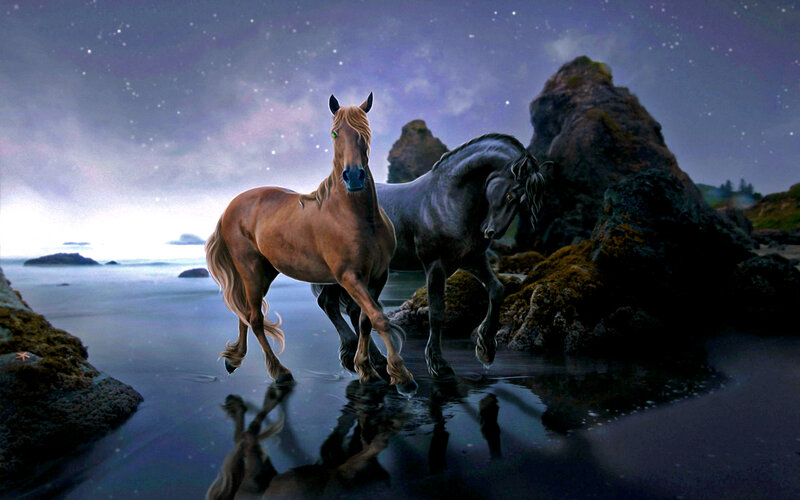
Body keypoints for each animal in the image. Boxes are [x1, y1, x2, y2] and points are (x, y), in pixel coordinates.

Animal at [206, 93, 417, 396]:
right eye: (335, 133)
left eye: (365, 132)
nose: (354, 176)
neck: (358, 217)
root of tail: (231, 207)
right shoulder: (349, 276)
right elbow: (378, 318)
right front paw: (402, 377)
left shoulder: (377, 276)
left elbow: (366, 319)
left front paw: (368, 371)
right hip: (251, 270)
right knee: (255, 318)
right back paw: (280, 373)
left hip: (266, 272)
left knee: (245, 312)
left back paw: (234, 361)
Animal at [314, 133, 545, 377]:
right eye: (510, 193)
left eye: (522, 200)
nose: (491, 232)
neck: (446, 199)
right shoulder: (436, 265)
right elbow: (436, 312)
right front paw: (438, 364)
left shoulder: (472, 259)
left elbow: (497, 290)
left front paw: (486, 349)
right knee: (330, 304)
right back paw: (356, 355)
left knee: (352, 308)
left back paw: (375, 361)